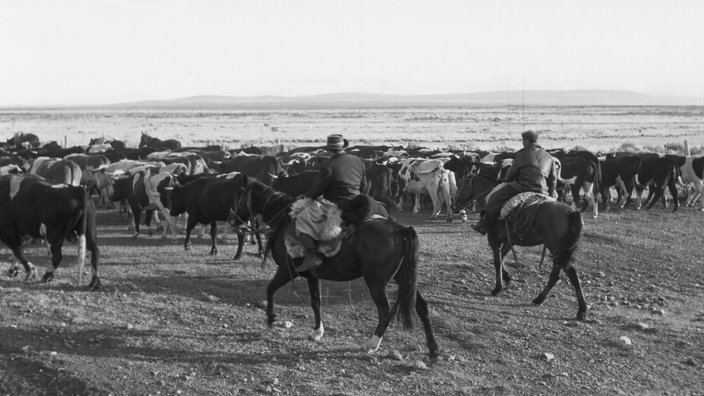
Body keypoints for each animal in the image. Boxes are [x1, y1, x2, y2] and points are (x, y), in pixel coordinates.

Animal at [231, 176, 438, 358]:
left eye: (240, 193)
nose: (232, 220)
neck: (284, 219)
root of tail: (400, 229)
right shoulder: (312, 275)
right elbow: (316, 301)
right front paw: (317, 331)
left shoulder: (285, 269)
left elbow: (270, 288)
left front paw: (271, 319)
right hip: (404, 278)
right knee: (422, 307)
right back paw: (433, 350)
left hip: (376, 282)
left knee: (385, 312)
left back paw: (372, 344)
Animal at [454, 175, 584, 320]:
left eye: (461, 184)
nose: (454, 205)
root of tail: (572, 212)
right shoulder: (508, 241)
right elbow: (502, 258)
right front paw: (507, 278)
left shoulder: (494, 239)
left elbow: (497, 261)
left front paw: (498, 288)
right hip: (559, 252)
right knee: (557, 276)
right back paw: (541, 299)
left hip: (557, 250)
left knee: (570, 275)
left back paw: (581, 310)